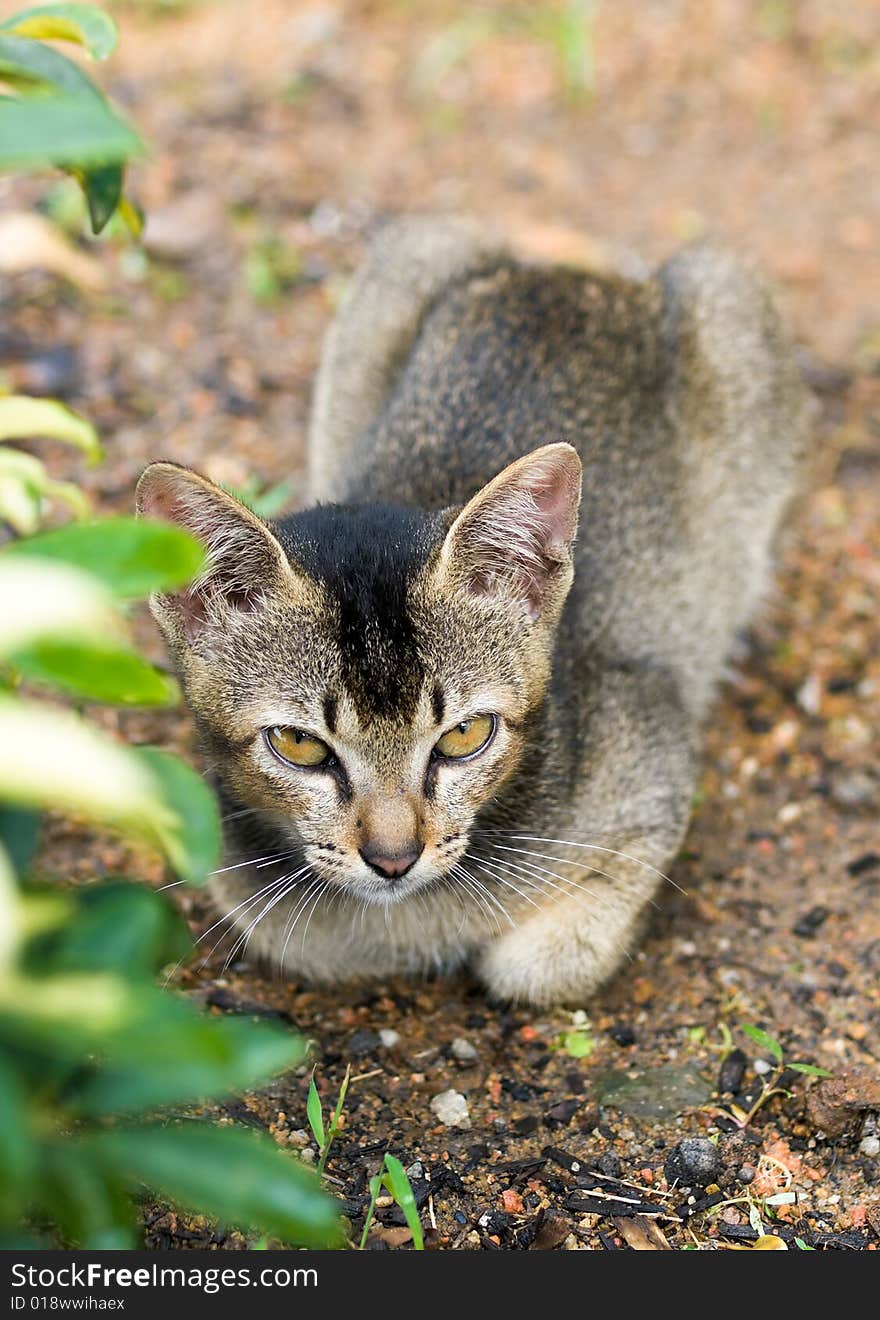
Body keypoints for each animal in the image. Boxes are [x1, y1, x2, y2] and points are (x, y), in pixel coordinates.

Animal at [139, 219, 812, 997]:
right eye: (299, 745)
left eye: (465, 735)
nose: (393, 857)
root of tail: (575, 280)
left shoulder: (653, 758)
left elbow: (543, 962)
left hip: (727, 302)